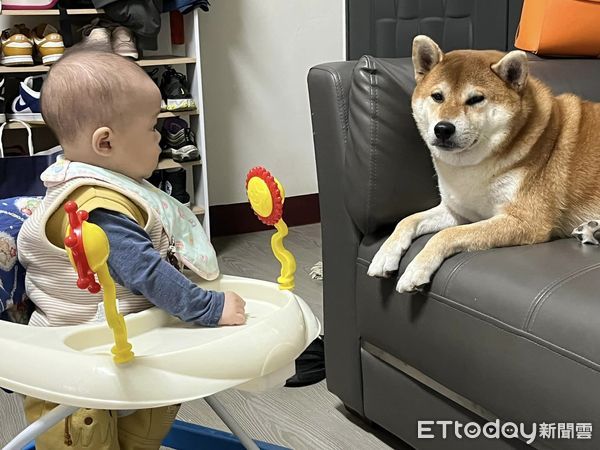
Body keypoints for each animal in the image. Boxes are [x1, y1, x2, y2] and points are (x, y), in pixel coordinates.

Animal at [368, 36, 600, 296]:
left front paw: (417, 269)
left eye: (475, 99)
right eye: (437, 96)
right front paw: (385, 254)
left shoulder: (526, 221)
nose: (443, 129)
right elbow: (407, 220)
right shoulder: (458, 211)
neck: (473, 167)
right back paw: (592, 230)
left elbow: (446, 235)